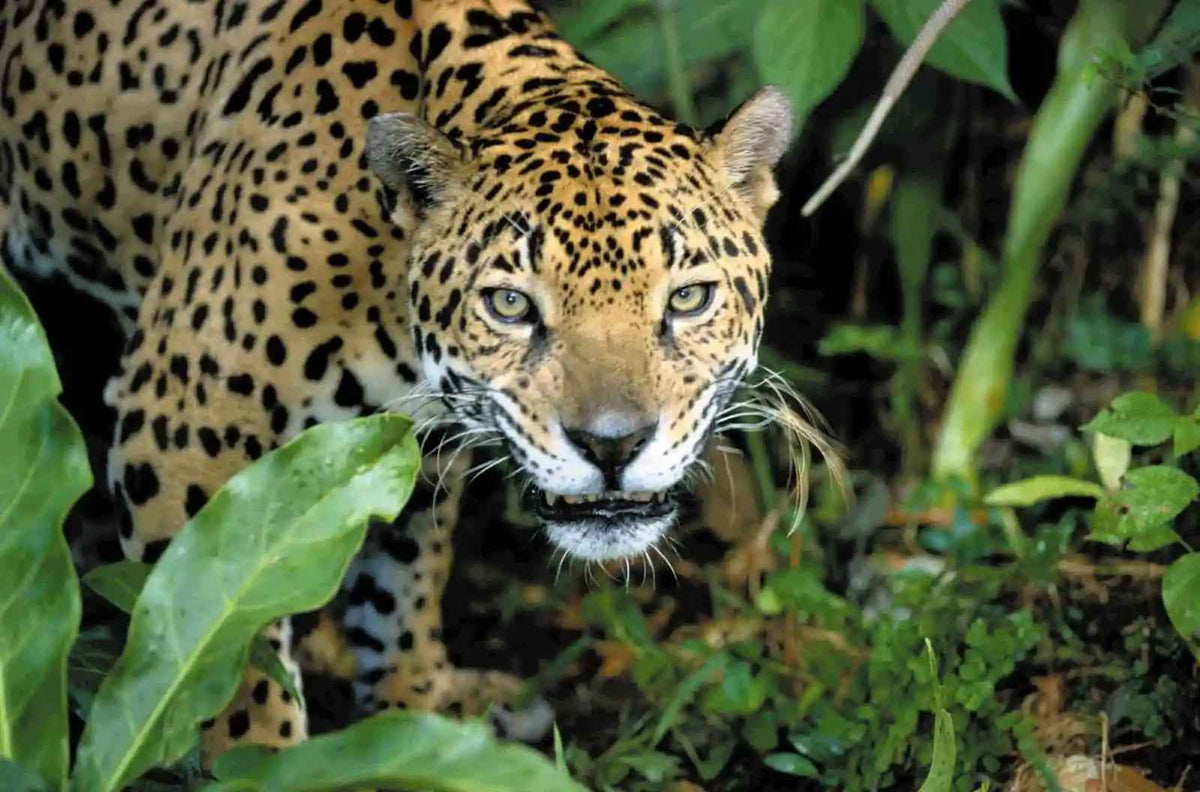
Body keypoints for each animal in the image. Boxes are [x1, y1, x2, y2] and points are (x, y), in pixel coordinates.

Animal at [0, 0, 794, 764]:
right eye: (510, 306)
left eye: (689, 298)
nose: (612, 446)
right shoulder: (181, 427)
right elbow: (230, 662)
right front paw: (261, 764)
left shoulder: (405, 441)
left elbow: (404, 572)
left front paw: (415, 700)